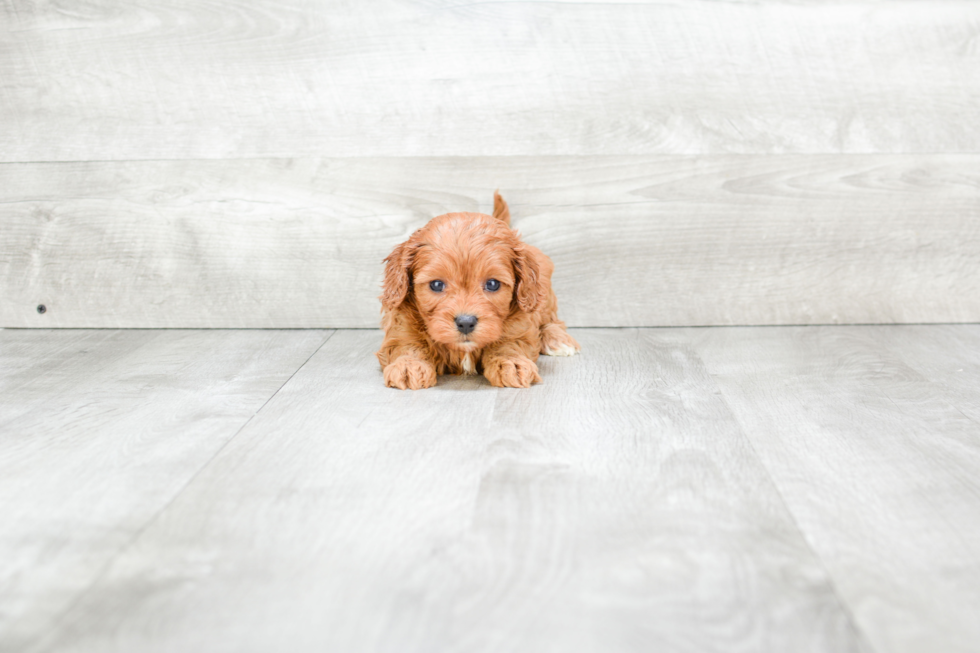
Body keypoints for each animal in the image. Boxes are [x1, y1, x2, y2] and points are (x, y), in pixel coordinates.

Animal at [374, 191, 576, 390]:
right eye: (437, 285)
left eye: (493, 284)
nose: (465, 323)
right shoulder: (401, 324)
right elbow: (406, 344)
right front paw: (408, 365)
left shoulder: (520, 322)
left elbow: (510, 342)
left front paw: (511, 362)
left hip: (543, 296)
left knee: (552, 321)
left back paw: (558, 340)